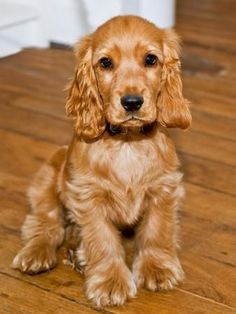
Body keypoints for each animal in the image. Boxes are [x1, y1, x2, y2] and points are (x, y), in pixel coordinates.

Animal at [12, 15, 192, 306]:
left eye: (151, 59)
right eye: (105, 63)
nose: (132, 102)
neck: (127, 142)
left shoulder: (164, 189)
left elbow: (157, 230)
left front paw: (157, 268)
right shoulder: (88, 196)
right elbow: (102, 239)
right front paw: (110, 282)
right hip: (46, 182)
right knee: (46, 224)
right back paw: (36, 254)